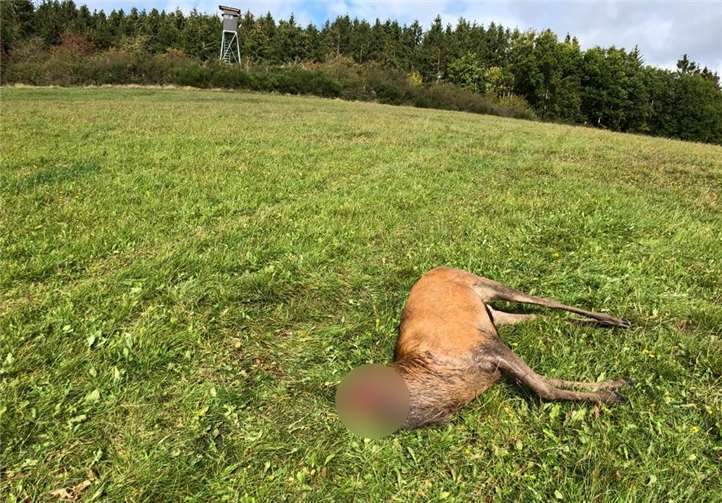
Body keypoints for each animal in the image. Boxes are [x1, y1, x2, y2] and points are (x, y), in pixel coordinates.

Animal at [336, 267, 632, 434]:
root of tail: (437, 267)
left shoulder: (486, 345)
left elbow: (543, 388)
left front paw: (611, 394)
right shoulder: (497, 365)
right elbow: (545, 380)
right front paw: (616, 384)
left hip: (486, 284)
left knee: (545, 300)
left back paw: (616, 319)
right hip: (495, 315)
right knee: (538, 316)